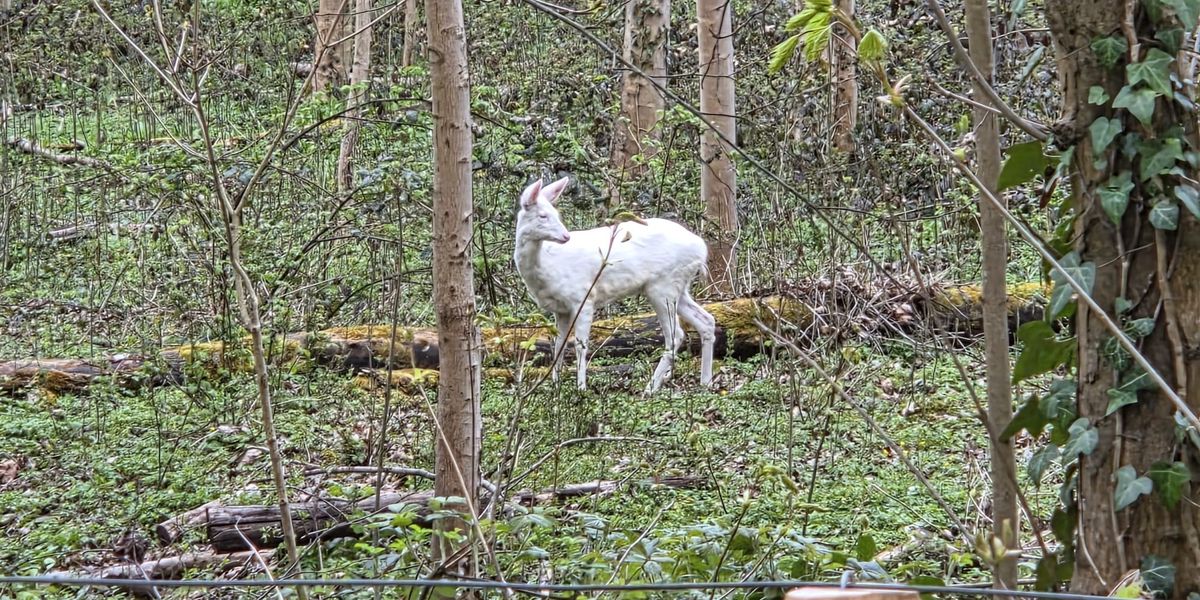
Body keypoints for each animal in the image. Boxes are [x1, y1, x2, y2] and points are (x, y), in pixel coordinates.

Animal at [512, 176, 716, 394]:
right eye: (543, 216)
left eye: (556, 214)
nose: (566, 236)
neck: (547, 267)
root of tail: (702, 249)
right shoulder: (561, 309)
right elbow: (558, 346)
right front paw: (555, 387)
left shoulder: (583, 297)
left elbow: (580, 345)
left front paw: (581, 389)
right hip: (678, 286)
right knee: (706, 321)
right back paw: (705, 382)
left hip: (663, 286)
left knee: (676, 335)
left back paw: (650, 388)